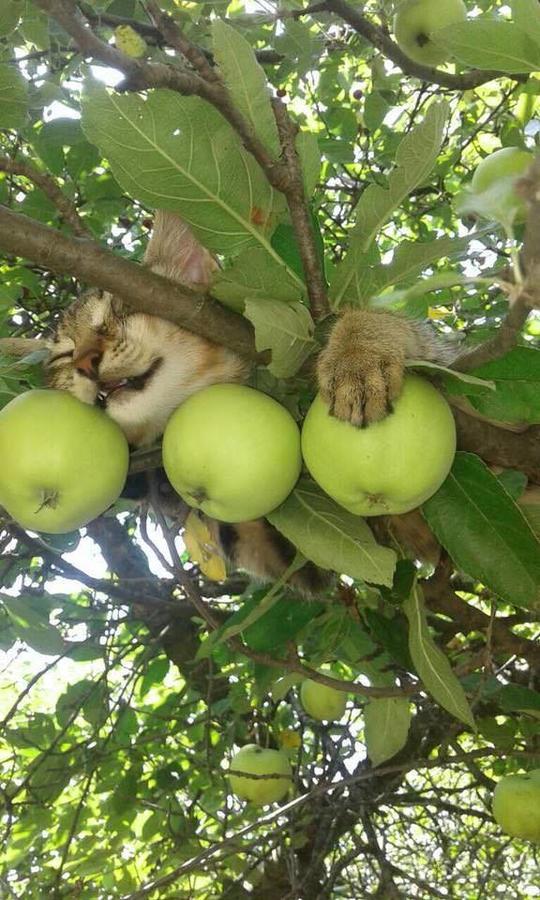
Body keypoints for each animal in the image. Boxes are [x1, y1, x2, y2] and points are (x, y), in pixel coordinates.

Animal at [44, 211, 450, 592]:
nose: (84, 363)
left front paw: (357, 356)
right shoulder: (282, 552)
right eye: (62, 357)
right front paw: (141, 480)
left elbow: (389, 323)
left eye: (124, 308)